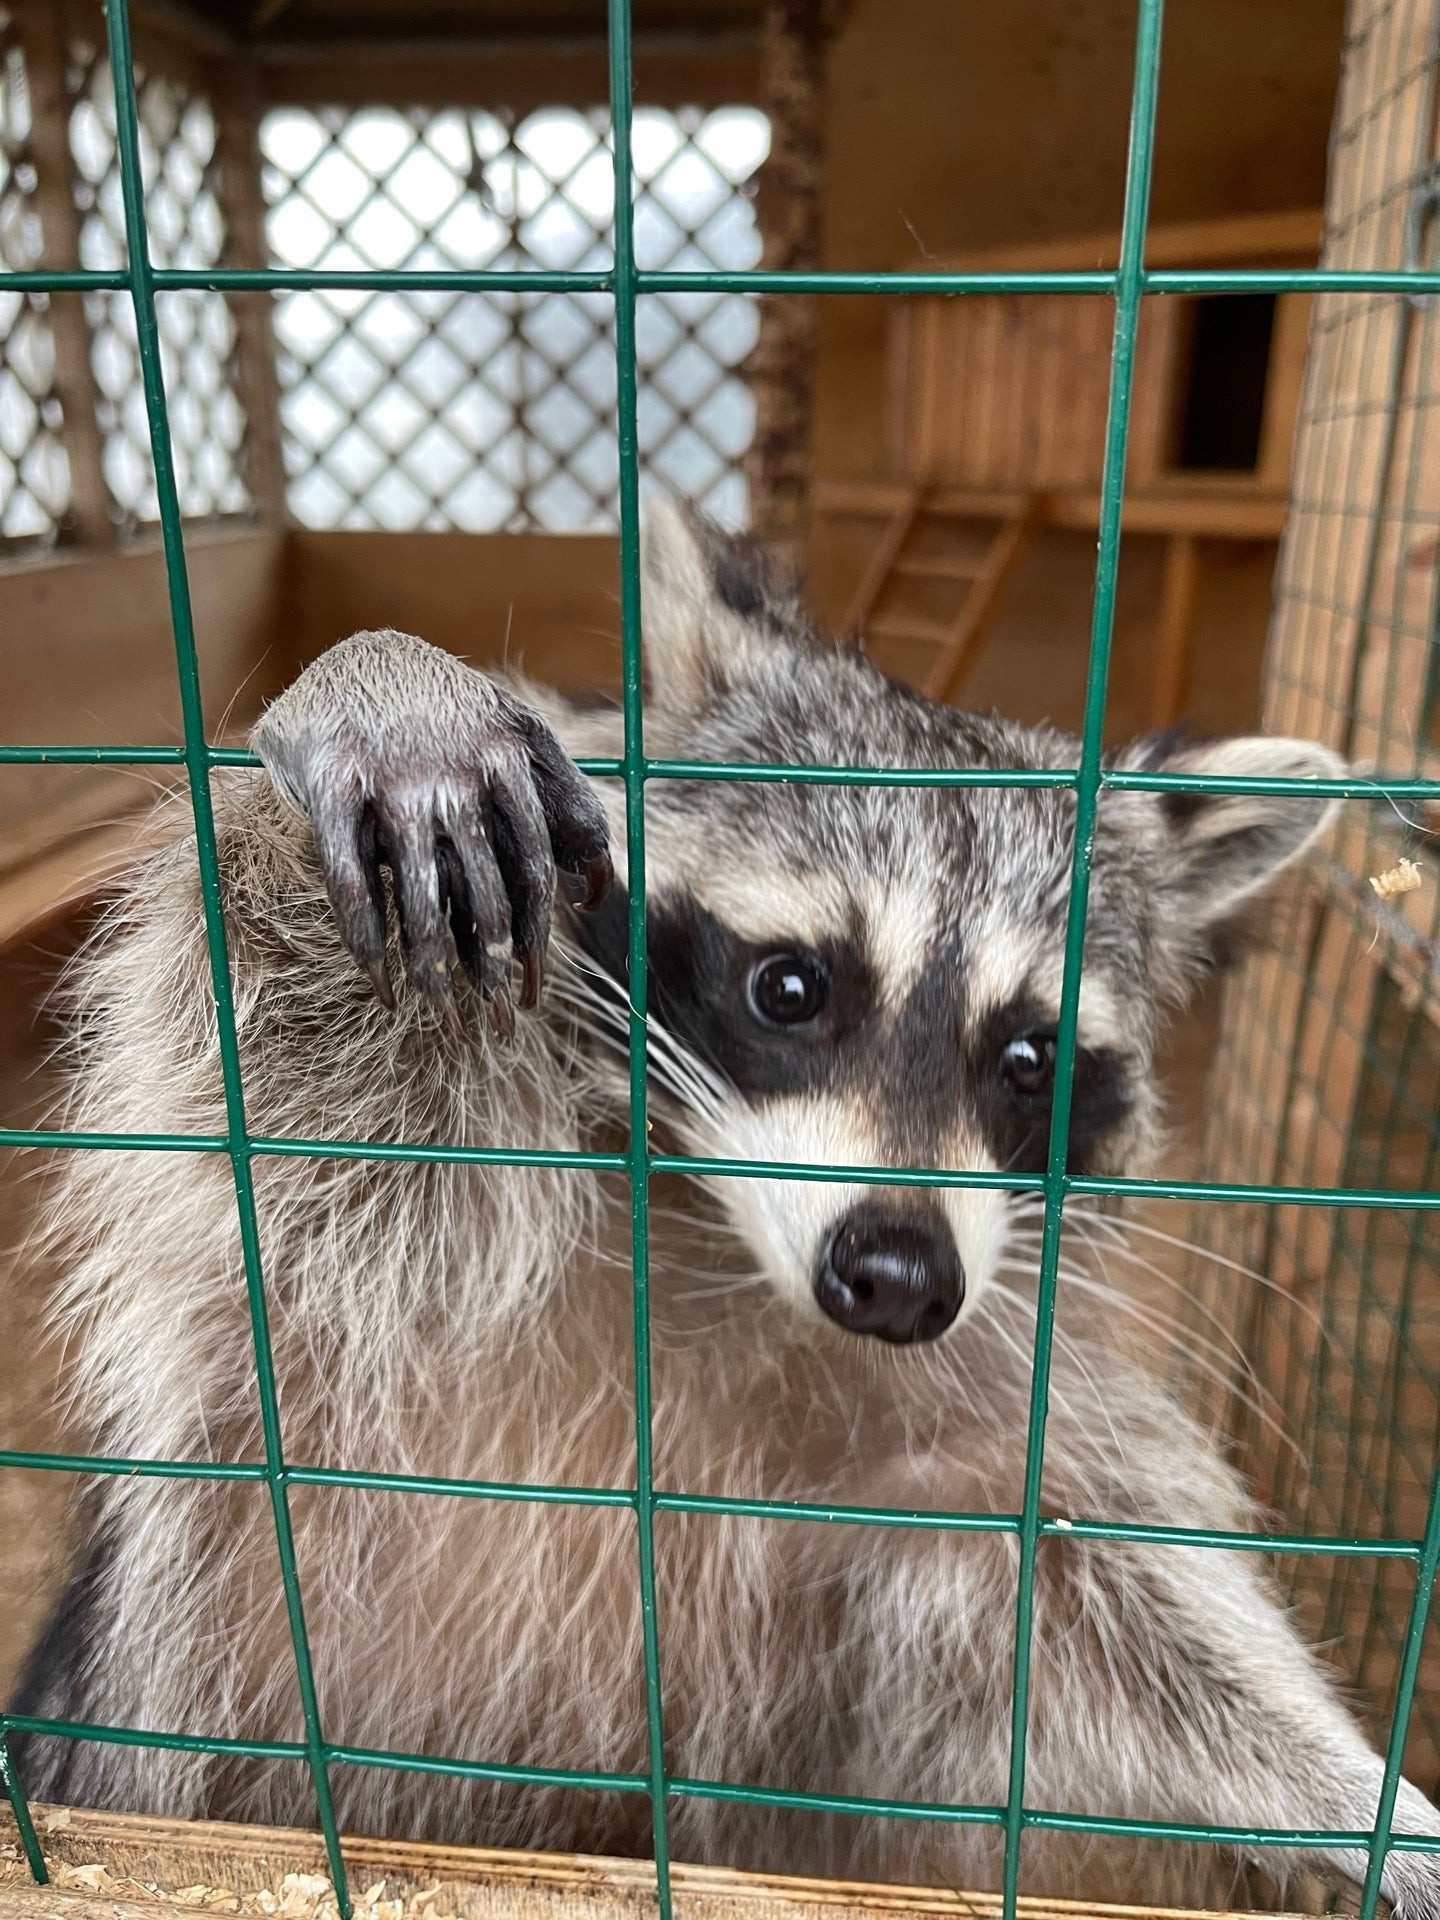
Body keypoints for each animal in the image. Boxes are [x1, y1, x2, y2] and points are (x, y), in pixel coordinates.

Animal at [11, 503, 1440, 1912]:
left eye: (1029, 1059)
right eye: (791, 987)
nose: (899, 1278)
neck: (723, 1247)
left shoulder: (947, 1459)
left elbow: (1104, 1603)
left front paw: (1359, 1800)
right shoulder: (356, 1278)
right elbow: (259, 1036)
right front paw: (379, 683)